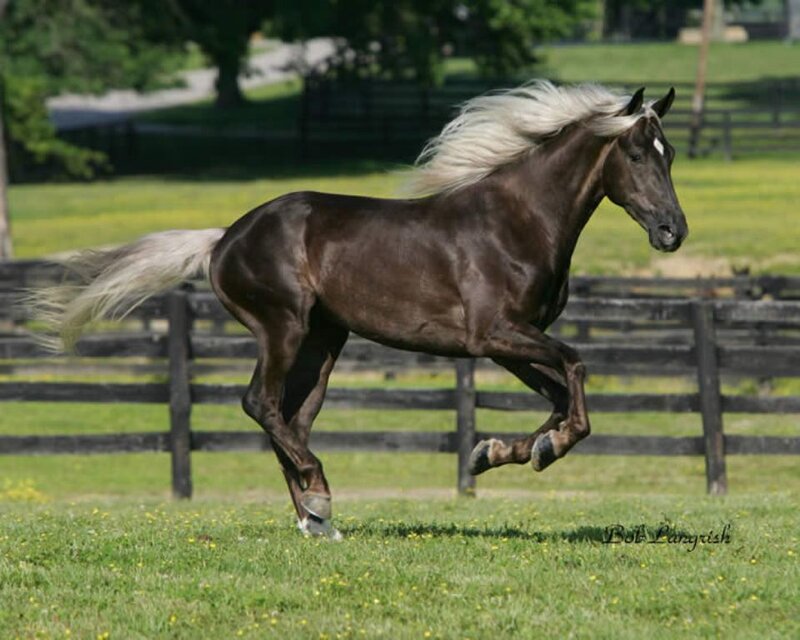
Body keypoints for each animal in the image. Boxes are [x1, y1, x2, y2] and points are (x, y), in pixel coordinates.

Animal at [30, 81, 687, 539]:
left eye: (671, 153)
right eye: (634, 154)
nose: (671, 232)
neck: (517, 222)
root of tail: (222, 240)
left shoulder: (509, 342)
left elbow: (556, 392)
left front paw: (503, 453)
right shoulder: (494, 333)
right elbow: (575, 371)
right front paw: (545, 448)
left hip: (325, 342)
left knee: (290, 418)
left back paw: (317, 520)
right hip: (283, 327)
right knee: (261, 403)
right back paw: (318, 498)